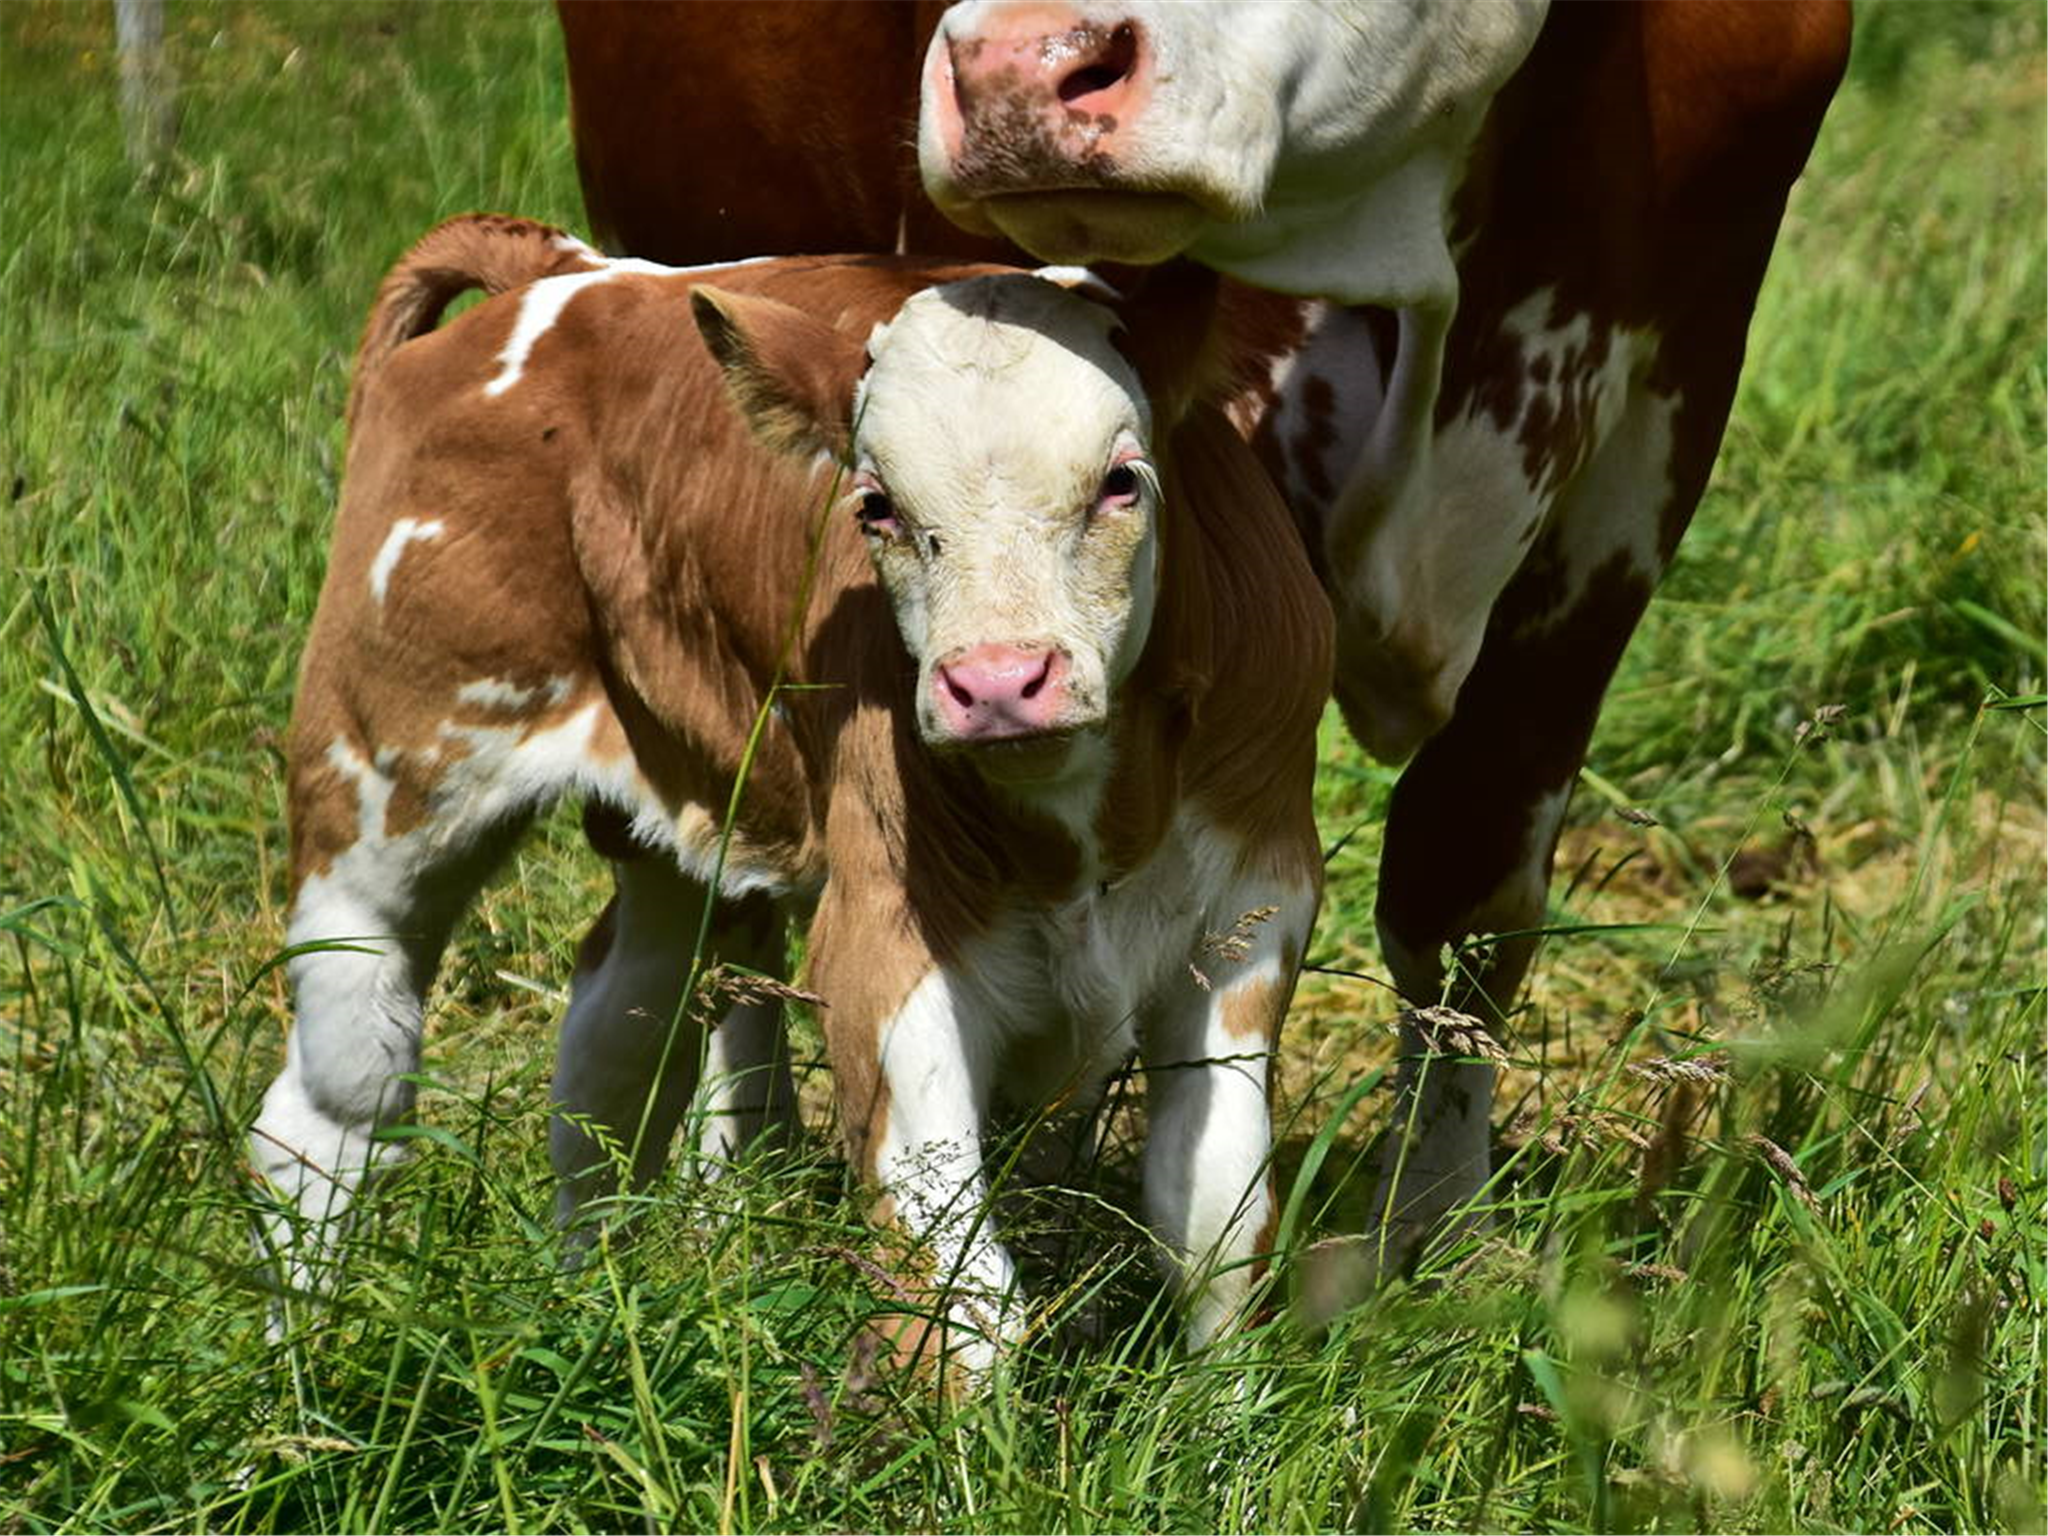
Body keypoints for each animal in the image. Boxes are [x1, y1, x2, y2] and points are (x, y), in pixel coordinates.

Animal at [247, 217, 1335, 1368]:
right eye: (877, 505)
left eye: (1121, 481)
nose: (998, 682)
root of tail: (575, 275)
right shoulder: (884, 936)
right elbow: (960, 1294)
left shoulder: (1251, 906)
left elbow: (1214, 1229)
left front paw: (1226, 1414)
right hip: (383, 773)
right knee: (334, 1100)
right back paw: (298, 1376)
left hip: (681, 808)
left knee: (616, 1053)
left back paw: (584, 1304)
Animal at [561, 3, 1859, 1261]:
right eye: (873, 502)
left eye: (1120, 483)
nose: (1017, 67)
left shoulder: (1649, 423)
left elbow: (1462, 895)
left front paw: (1438, 1237)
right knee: (708, 898)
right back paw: (714, 1186)